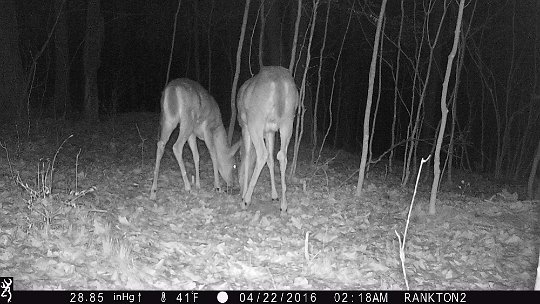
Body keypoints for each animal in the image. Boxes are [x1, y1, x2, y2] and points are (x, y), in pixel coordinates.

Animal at [235, 66, 298, 214]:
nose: (238, 186)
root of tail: (279, 83)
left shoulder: (245, 127)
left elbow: (247, 157)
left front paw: (243, 195)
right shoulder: (270, 131)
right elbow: (271, 159)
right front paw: (274, 195)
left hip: (255, 120)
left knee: (262, 154)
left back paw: (246, 200)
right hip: (288, 120)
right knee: (281, 156)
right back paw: (284, 205)